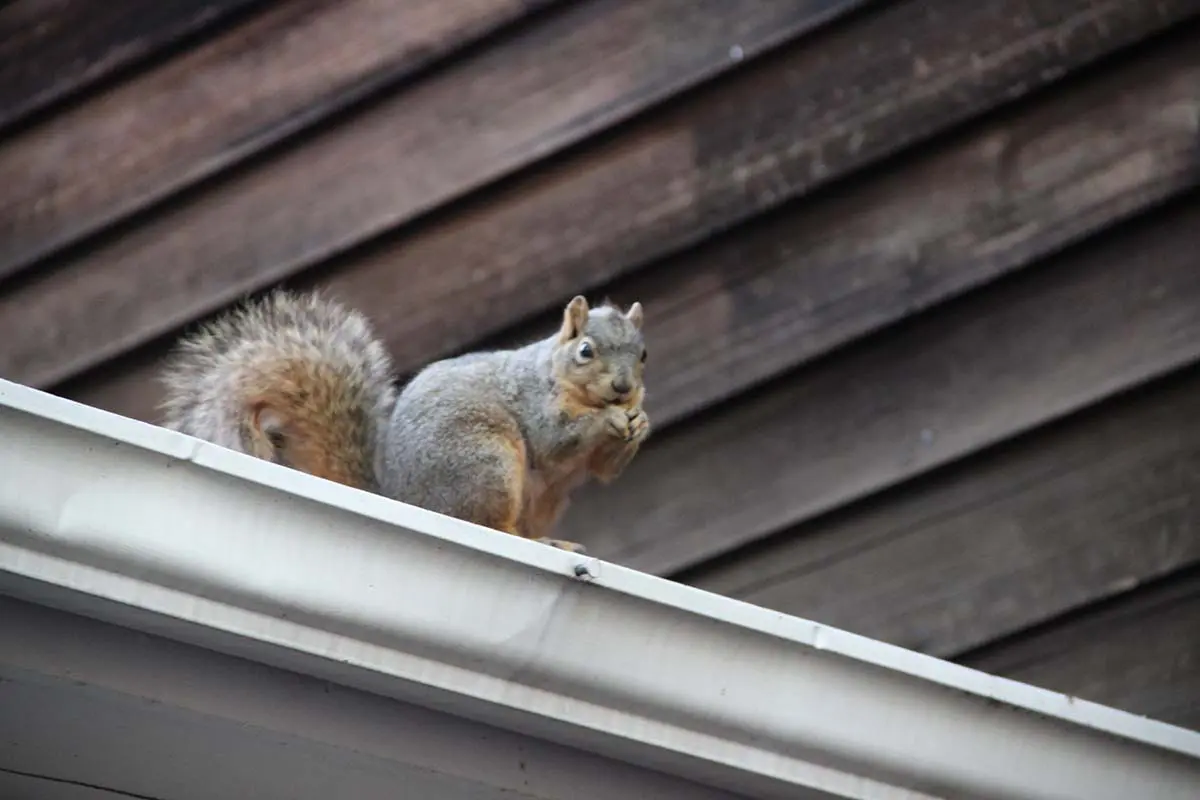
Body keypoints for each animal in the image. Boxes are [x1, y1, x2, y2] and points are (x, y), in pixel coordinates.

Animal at [157, 291, 649, 553]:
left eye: (643, 354)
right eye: (585, 351)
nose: (624, 387)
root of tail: (403, 498)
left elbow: (604, 469)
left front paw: (639, 422)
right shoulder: (533, 402)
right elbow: (555, 441)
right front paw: (610, 418)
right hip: (486, 464)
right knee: (490, 525)